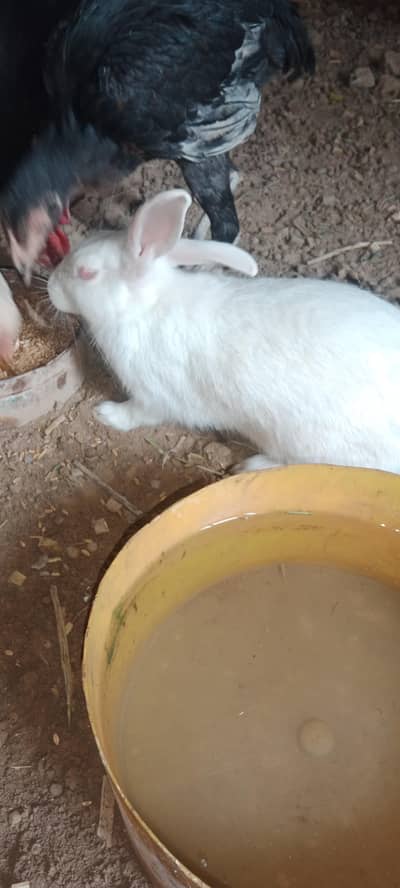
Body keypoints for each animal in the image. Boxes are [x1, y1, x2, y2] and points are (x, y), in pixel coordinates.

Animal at [47, 188, 400, 475]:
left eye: (86, 273)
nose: (50, 287)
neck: (143, 308)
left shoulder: (153, 395)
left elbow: (138, 414)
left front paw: (106, 413)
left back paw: (252, 465)